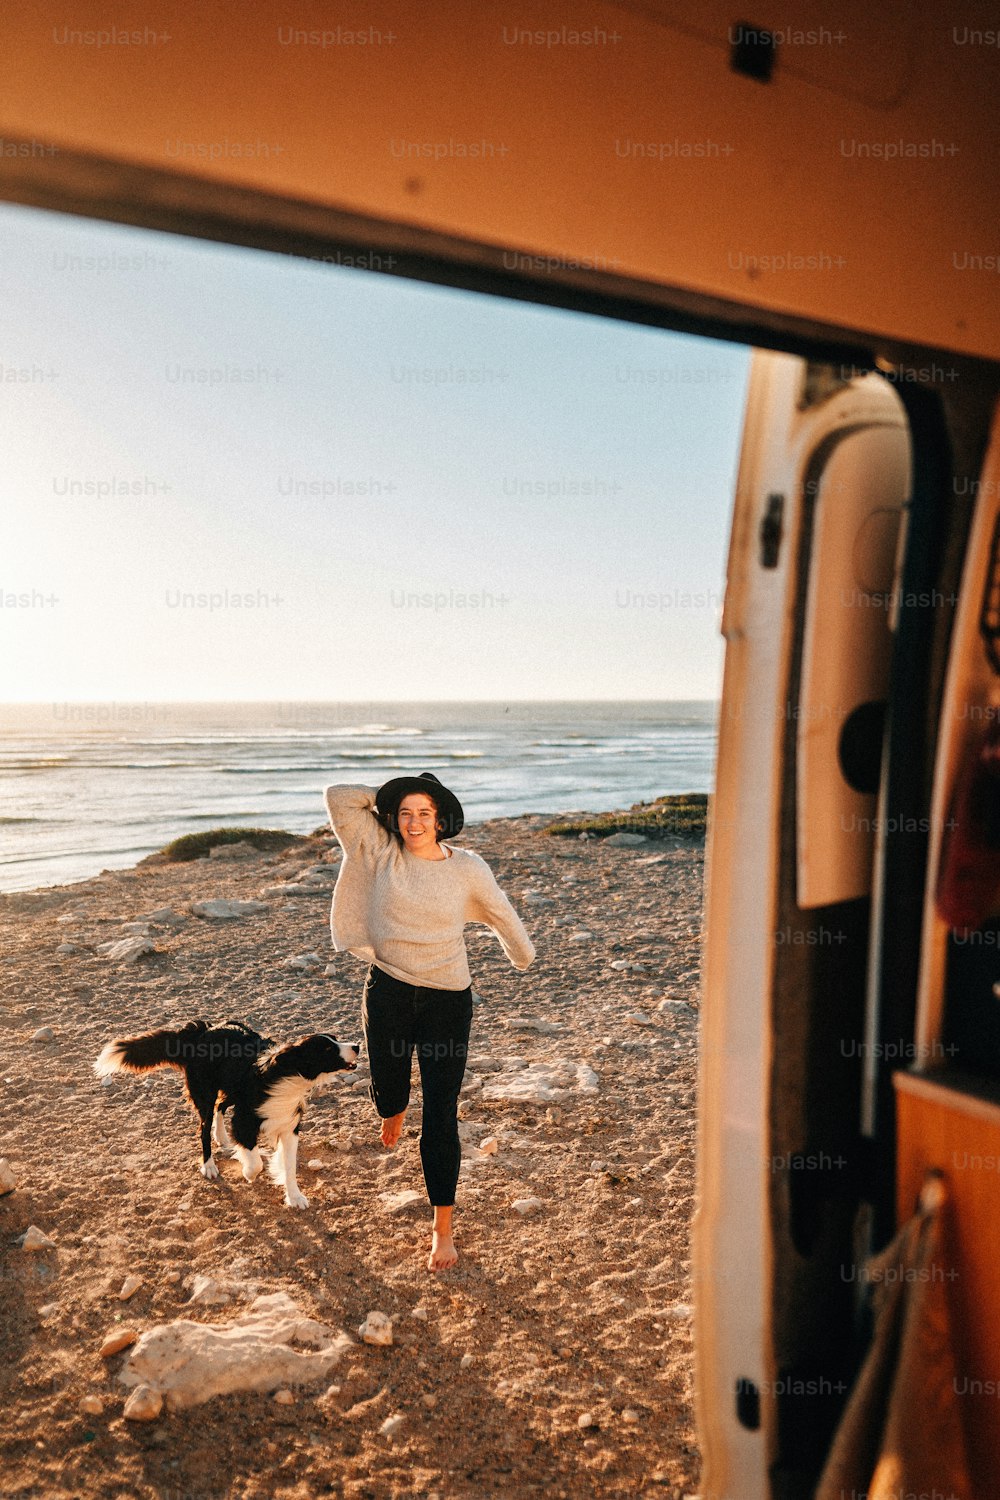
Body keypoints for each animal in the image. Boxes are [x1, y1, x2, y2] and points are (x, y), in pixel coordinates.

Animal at [93, 1014, 359, 1212]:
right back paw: (209, 1165)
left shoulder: (288, 1125)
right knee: (203, 1127)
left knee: (220, 1107)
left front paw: (294, 1196)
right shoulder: (244, 1121)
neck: (287, 1076)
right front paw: (248, 1172)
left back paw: (221, 1137)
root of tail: (203, 1030)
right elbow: (255, 1161)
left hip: (229, 1088)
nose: (356, 1045)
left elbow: (289, 1165)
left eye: (336, 1039)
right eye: (327, 1048)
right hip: (205, 1093)